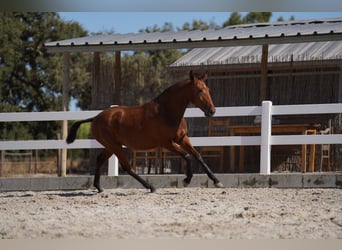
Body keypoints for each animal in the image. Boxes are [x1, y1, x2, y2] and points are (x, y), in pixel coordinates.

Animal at [66, 71, 224, 192]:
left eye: (207, 89)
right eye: (199, 90)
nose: (212, 111)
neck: (166, 111)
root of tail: (96, 117)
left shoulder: (182, 139)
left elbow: (198, 156)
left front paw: (217, 181)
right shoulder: (167, 143)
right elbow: (187, 156)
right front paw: (186, 180)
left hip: (111, 146)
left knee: (101, 160)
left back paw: (99, 187)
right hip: (115, 146)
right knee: (127, 167)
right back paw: (150, 187)